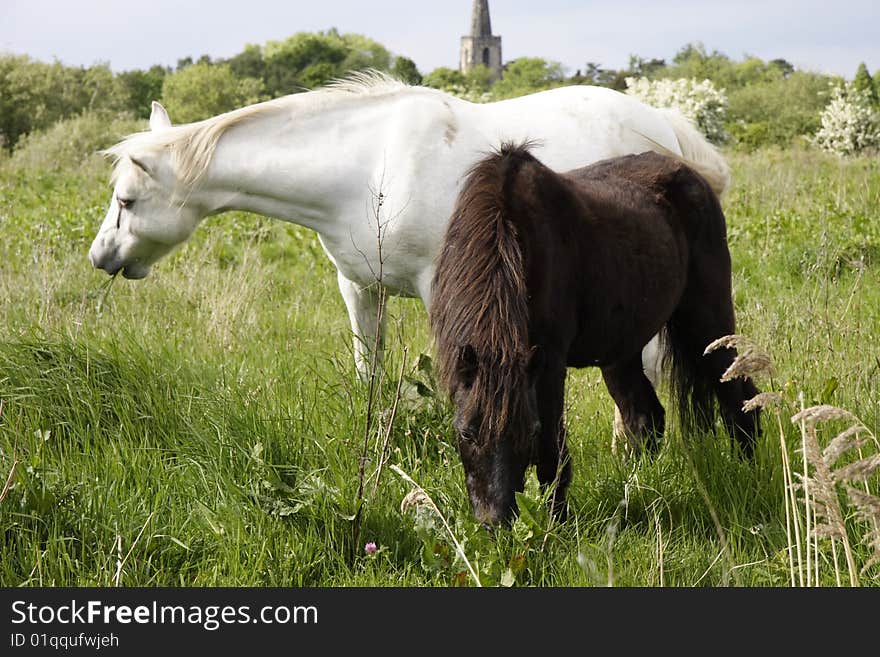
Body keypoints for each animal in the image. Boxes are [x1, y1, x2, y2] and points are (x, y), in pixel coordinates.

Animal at [91, 73, 728, 426]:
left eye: (126, 200)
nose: (102, 257)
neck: (367, 165)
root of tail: (663, 127)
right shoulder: (357, 287)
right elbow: (367, 371)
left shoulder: (440, 288)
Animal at [430, 145, 760, 528]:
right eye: (467, 432)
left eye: (527, 431)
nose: (495, 522)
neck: (510, 232)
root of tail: (694, 178)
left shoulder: (549, 365)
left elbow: (551, 452)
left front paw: (557, 524)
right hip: (623, 351)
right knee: (645, 417)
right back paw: (637, 488)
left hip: (707, 323)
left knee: (739, 398)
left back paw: (748, 473)